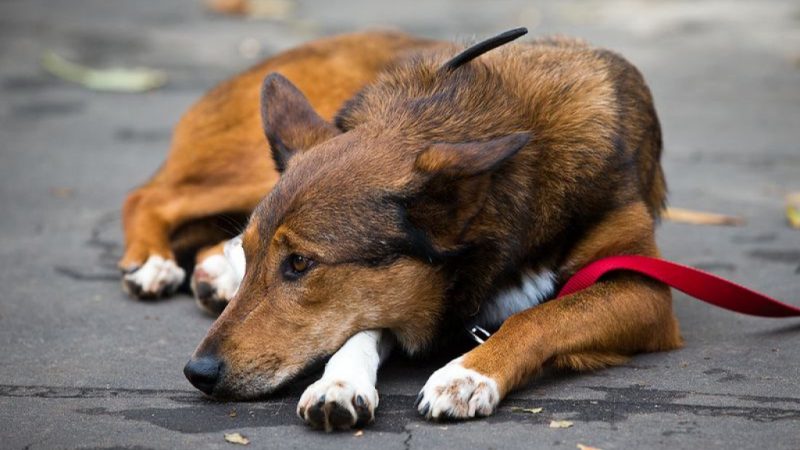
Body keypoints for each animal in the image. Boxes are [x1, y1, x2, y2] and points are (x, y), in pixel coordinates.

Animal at [175, 27, 680, 428]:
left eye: (299, 263)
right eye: (252, 251)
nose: (197, 372)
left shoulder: (643, 289)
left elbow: (539, 316)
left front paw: (469, 373)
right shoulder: (403, 288)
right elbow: (362, 327)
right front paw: (339, 383)